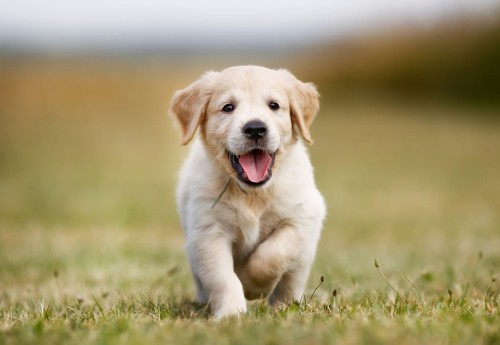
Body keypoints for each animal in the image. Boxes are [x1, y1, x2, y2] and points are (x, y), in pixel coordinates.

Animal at [169, 64, 324, 318]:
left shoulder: (300, 219)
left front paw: (252, 286)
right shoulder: (208, 232)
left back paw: (284, 306)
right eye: (228, 107)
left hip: (304, 256)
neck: (253, 193)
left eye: (274, 105)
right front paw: (232, 313)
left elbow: (273, 254)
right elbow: (223, 277)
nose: (255, 128)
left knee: (291, 280)